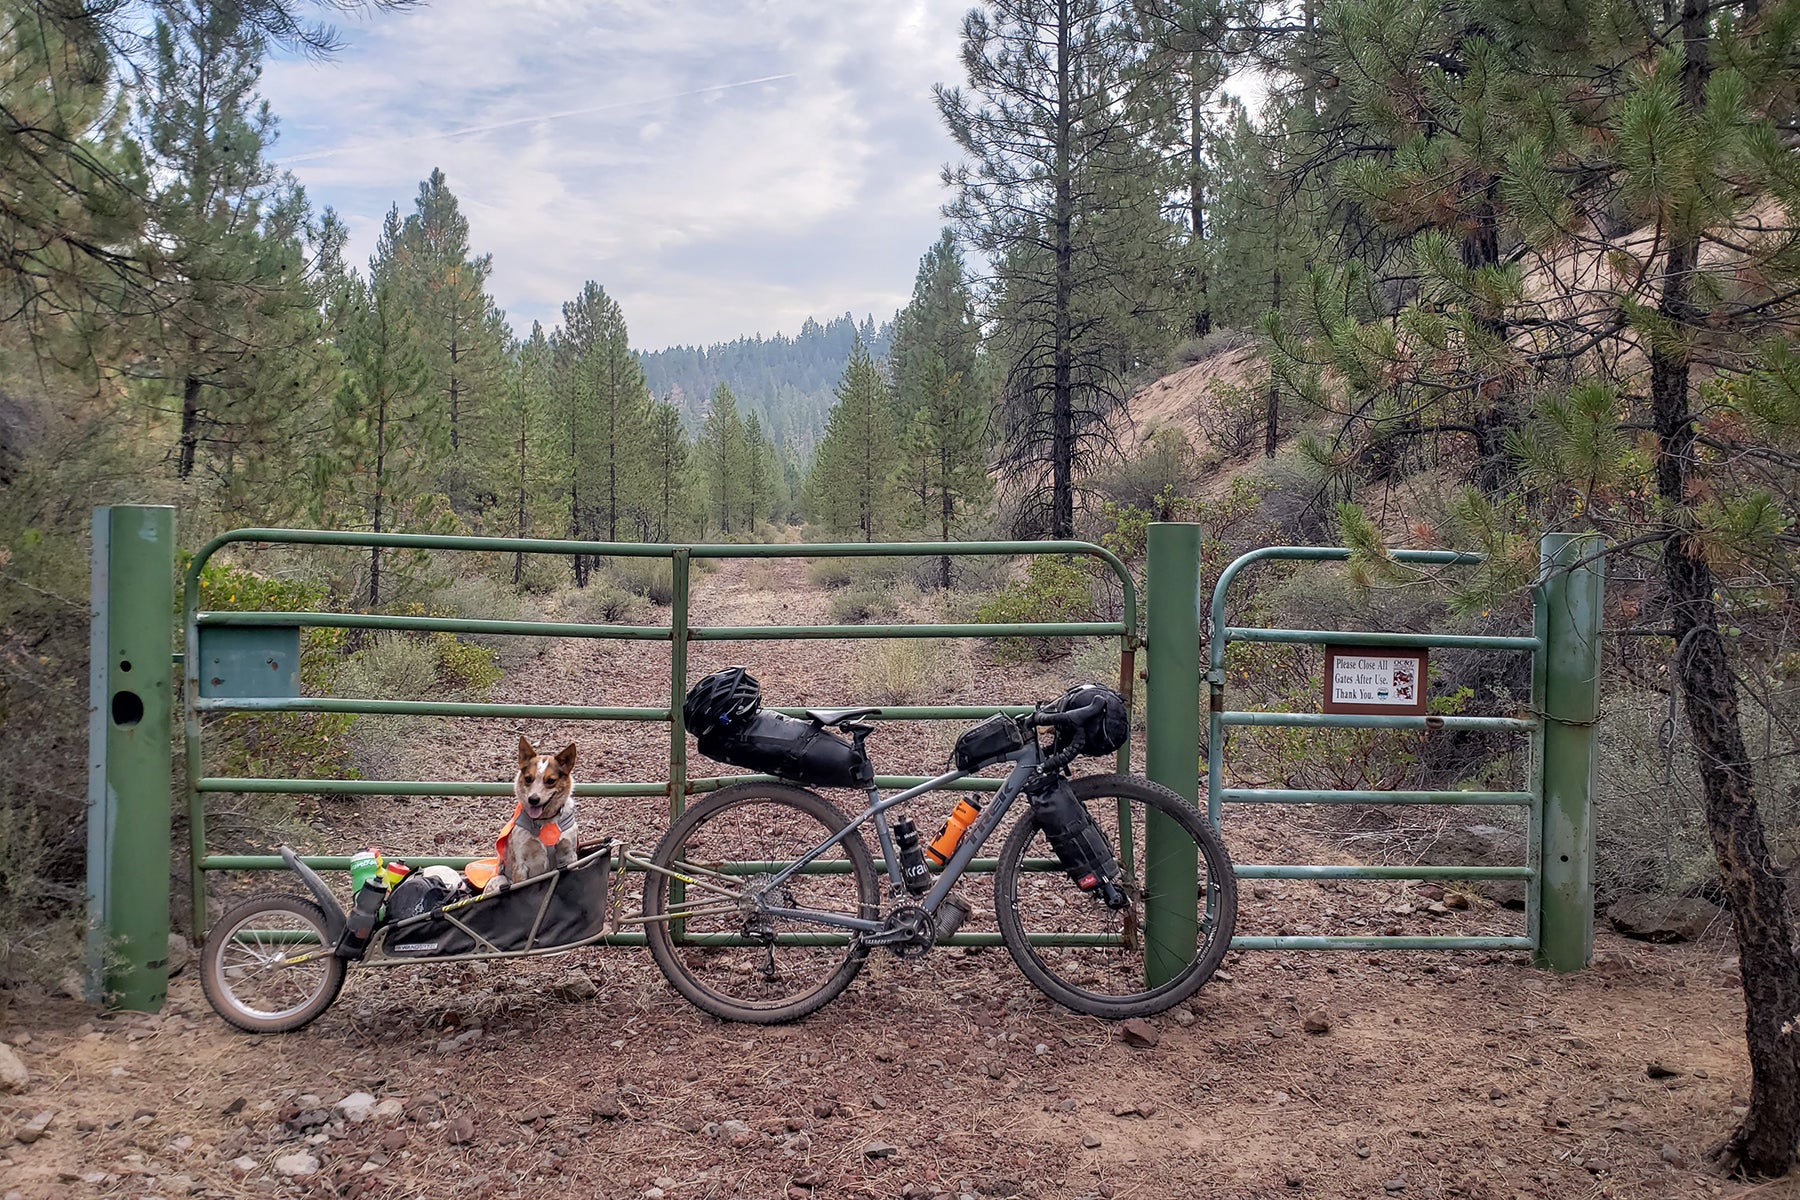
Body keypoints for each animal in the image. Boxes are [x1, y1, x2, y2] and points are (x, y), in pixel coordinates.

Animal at [482, 737, 579, 895]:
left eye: (550, 781)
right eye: (528, 778)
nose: (533, 799)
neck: (545, 821)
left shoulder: (569, 855)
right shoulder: (520, 864)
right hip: (498, 881)